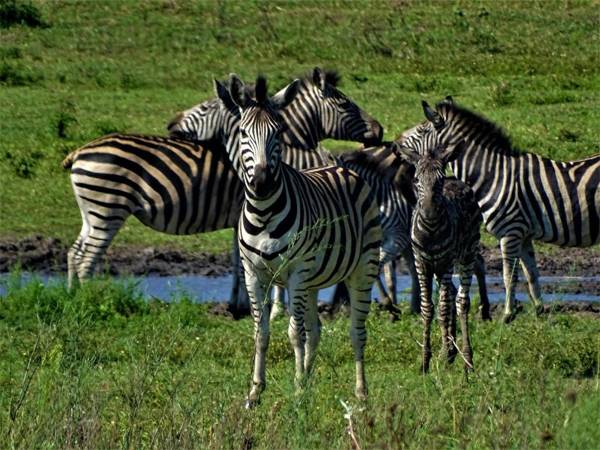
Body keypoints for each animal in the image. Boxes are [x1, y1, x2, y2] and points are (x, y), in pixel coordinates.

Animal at [218, 74, 382, 408]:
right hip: (313, 280)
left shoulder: (296, 272)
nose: (262, 182)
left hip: (362, 267)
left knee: (356, 331)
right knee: (316, 330)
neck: (263, 214)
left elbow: (295, 334)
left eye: (278, 132)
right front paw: (256, 391)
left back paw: (360, 393)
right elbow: (262, 332)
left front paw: (295, 391)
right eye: (243, 132)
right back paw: (308, 378)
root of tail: (340, 164)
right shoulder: (253, 274)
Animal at [398, 98, 600, 324]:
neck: (494, 175)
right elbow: (531, 275)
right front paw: (539, 311)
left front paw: (507, 315)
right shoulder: (524, 234)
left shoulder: (510, 232)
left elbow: (509, 277)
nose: (395, 144)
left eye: (422, 130)